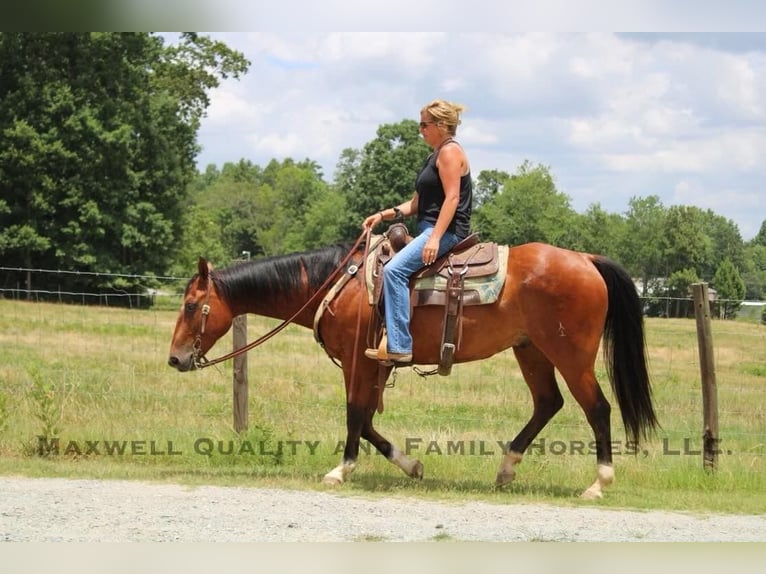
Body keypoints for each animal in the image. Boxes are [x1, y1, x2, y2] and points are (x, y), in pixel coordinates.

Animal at [168, 238, 660, 500]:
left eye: (192, 305)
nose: (175, 358)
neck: (338, 284)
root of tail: (586, 260)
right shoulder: (375, 365)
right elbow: (367, 420)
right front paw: (411, 465)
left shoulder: (356, 361)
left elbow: (354, 415)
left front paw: (340, 471)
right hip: (531, 350)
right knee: (547, 403)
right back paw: (506, 469)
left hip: (570, 354)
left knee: (597, 409)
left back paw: (598, 483)